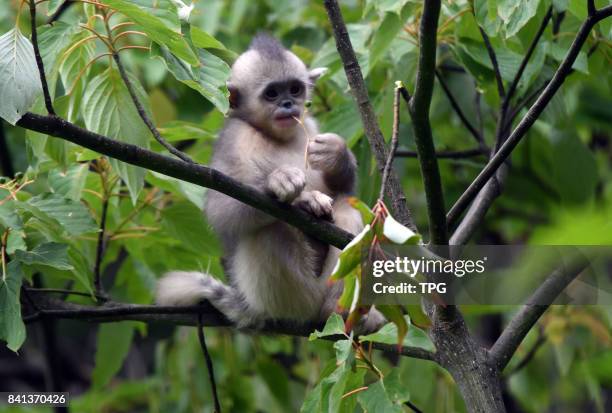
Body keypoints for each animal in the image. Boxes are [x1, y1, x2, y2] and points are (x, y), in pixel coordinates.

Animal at [157, 35, 382, 330]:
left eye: (295, 89)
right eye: (272, 94)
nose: (287, 104)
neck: (276, 136)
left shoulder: (309, 126)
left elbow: (342, 190)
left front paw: (336, 153)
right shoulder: (233, 141)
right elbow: (221, 211)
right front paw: (285, 186)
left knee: (347, 205)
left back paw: (341, 310)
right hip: (285, 294)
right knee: (270, 228)